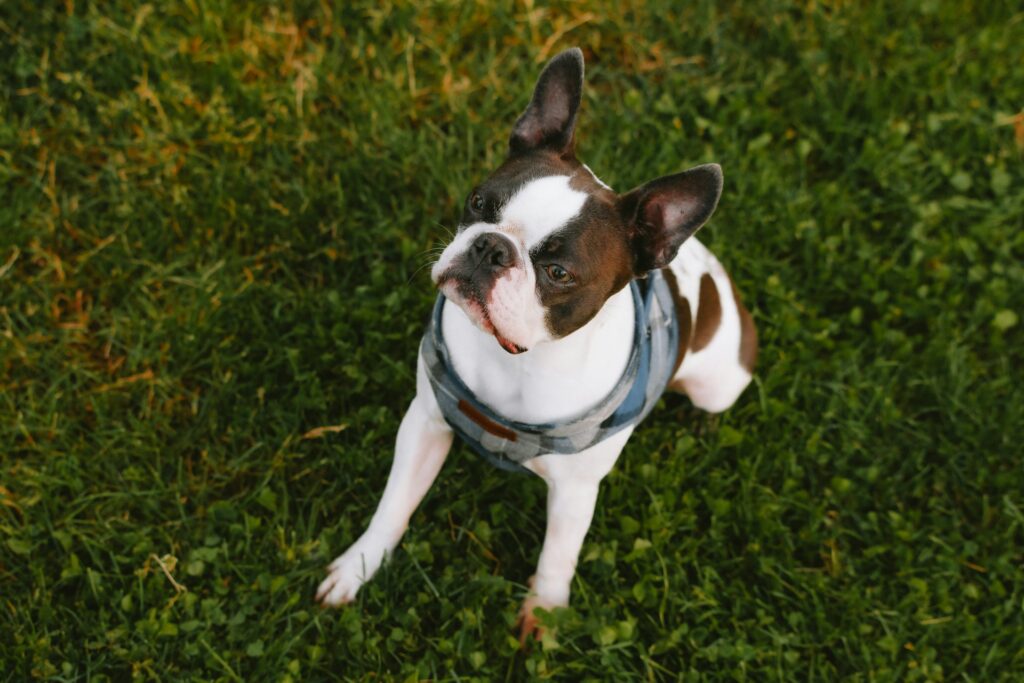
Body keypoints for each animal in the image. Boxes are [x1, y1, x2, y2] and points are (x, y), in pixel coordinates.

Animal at [315, 48, 757, 643]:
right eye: (478, 202)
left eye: (557, 273)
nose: (491, 247)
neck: (516, 363)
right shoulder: (425, 424)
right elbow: (393, 506)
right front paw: (358, 568)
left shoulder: (575, 492)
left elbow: (556, 557)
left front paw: (543, 614)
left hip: (718, 388)